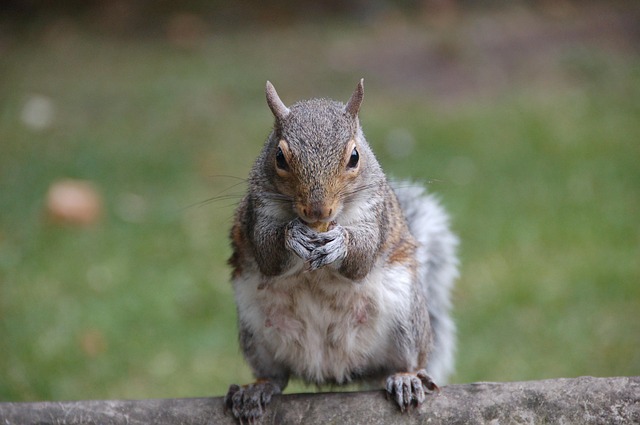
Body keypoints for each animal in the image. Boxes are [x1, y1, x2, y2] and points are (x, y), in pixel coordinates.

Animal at [225, 79, 458, 422]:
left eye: (354, 157)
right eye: (279, 157)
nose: (317, 211)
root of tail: (335, 371)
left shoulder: (375, 215)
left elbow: (361, 259)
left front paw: (341, 243)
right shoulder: (258, 212)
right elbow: (268, 253)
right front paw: (293, 235)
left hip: (407, 319)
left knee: (402, 363)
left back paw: (405, 379)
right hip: (256, 334)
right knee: (276, 376)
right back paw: (256, 390)